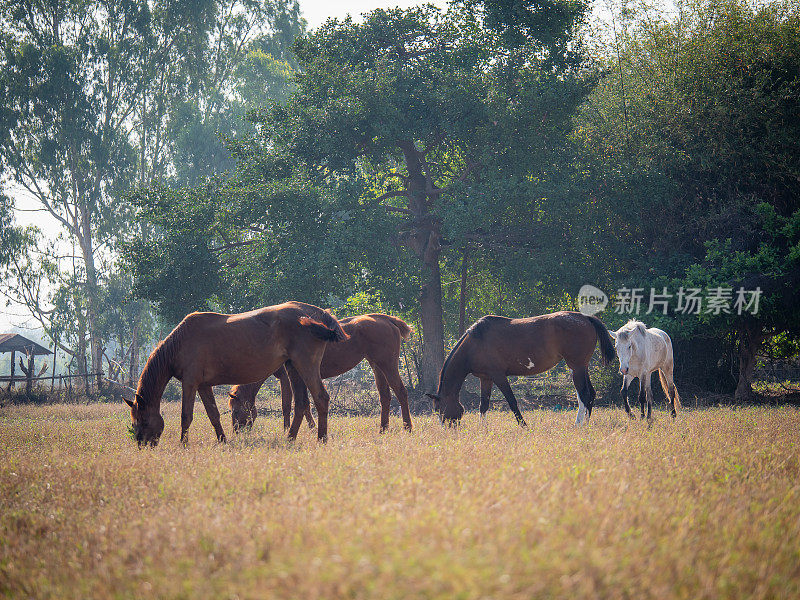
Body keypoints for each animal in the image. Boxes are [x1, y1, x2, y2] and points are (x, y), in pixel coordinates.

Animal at [126, 300, 346, 446]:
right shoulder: (203, 385)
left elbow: (186, 415)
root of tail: (318, 313)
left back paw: (321, 439)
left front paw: (183, 444)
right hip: (293, 368)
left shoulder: (189, 383)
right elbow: (213, 414)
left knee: (320, 398)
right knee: (301, 404)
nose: (143, 445)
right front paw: (222, 440)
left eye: (142, 421)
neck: (180, 342)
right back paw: (290, 438)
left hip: (305, 365)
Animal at [227, 312, 410, 434]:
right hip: (377, 366)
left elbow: (287, 405)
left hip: (388, 365)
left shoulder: (286, 378)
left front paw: (288, 429)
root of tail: (386, 319)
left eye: (235, 411)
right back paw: (383, 429)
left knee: (401, 392)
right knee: (385, 396)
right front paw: (311, 427)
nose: (237, 432)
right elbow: (306, 404)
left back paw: (407, 427)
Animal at [428, 312, 616, 424]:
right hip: (582, 368)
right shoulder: (486, 378)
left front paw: (523, 426)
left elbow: (512, 402)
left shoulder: (499, 376)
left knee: (584, 395)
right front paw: (483, 430)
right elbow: (483, 405)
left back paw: (578, 425)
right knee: (590, 394)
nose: (448, 429)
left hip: (576, 368)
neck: (476, 342)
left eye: (440, 410)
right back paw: (587, 424)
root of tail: (585, 317)